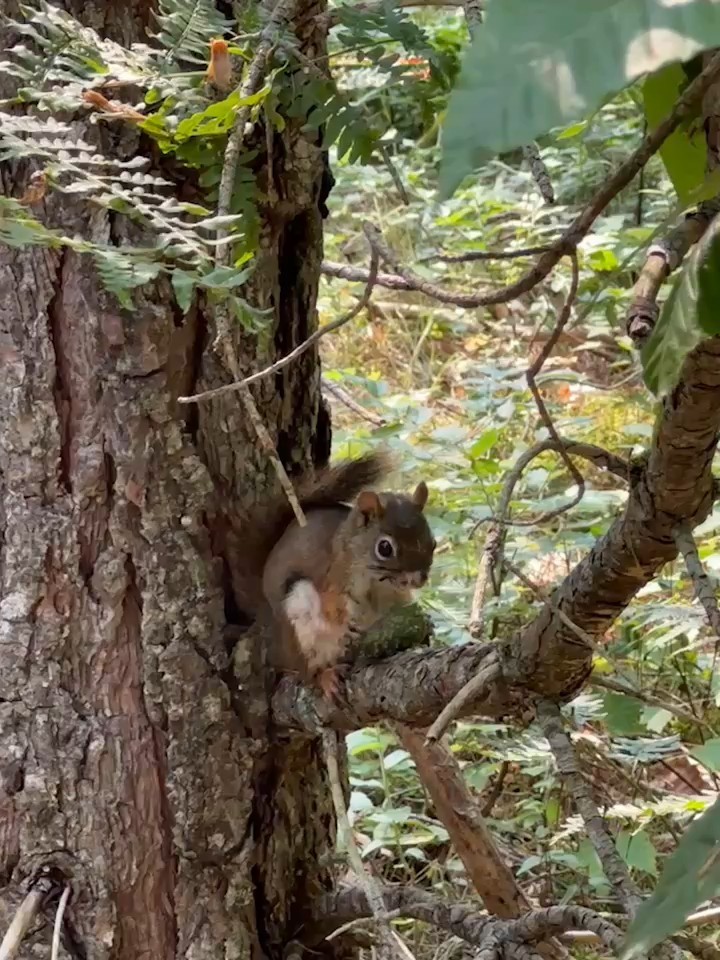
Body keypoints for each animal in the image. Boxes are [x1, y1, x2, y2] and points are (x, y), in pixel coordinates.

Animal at [229, 451, 435, 700]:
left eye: (433, 542)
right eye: (385, 548)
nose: (419, 579)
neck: (377, 583)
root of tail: (265, 618)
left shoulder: (395, 596)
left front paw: (425, 626)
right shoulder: (331, 578)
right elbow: (331, 609)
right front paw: (346, 626)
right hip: (298, 625)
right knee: (305, 671)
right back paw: (325, 676)